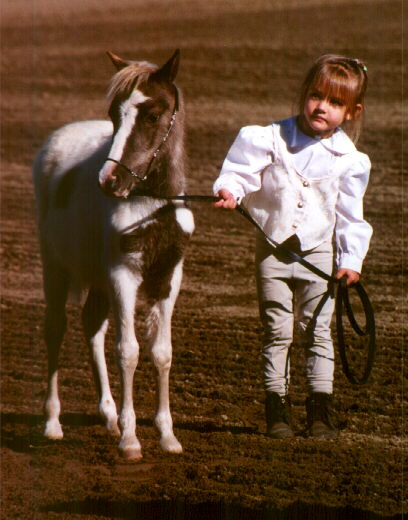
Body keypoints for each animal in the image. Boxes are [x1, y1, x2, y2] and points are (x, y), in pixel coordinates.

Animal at [31, 50, 194, 462]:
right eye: (114, 114)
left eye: (153, 115)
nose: (109, 182)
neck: (152, 203)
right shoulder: (124, 275)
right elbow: (128, 351)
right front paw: (131, 440)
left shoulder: (169, 276)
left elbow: (161, 352)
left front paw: (167, 436)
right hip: (55, 268)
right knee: (56, 329)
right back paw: (53, 423)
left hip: (98, 277)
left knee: (91, 324)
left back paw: (107, 416)